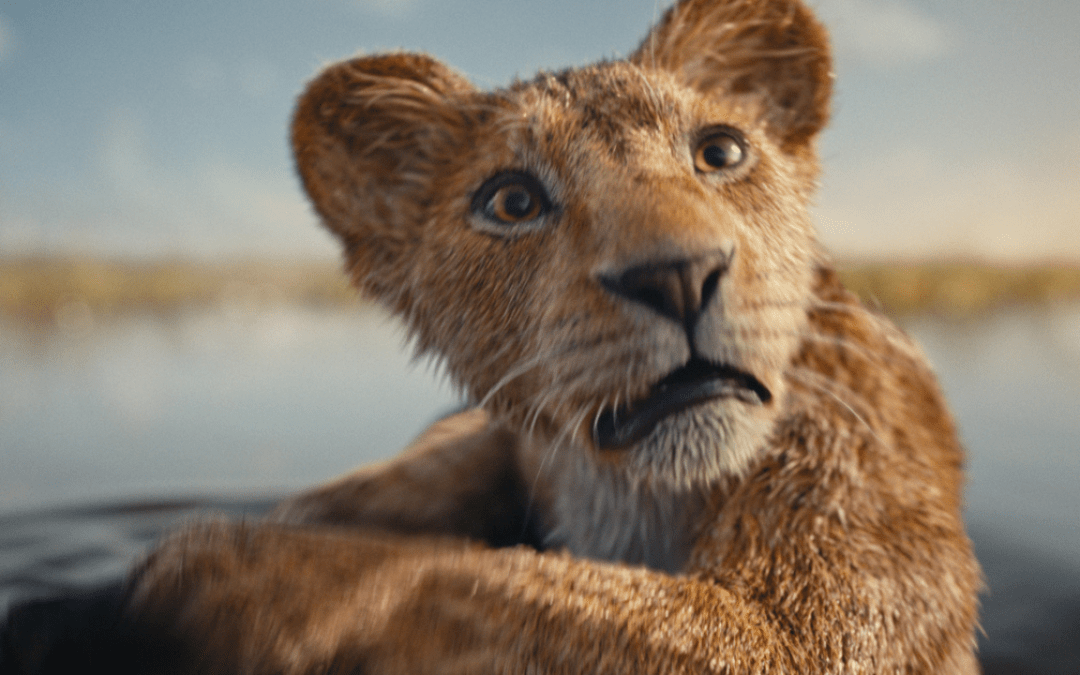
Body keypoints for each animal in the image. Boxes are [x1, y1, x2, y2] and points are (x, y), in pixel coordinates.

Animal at [0, 0, 982, 672]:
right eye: (512, 200)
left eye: (722, 152)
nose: (678, 274)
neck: (629, 492)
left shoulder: (818, 622)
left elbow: (477, 580)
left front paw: (213, 576)